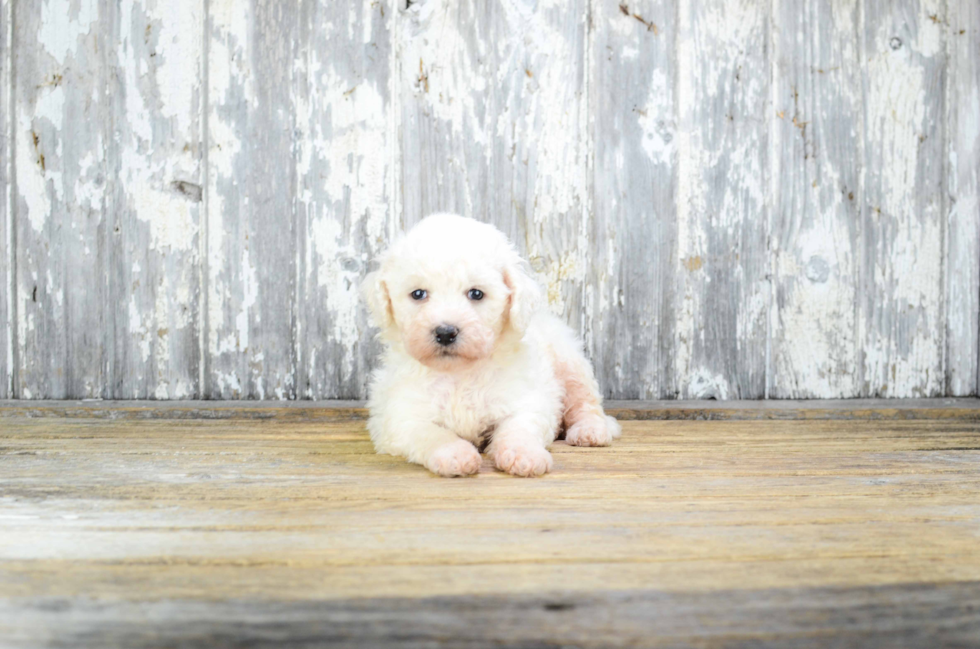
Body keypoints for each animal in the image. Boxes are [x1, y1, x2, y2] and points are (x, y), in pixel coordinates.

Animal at [360, 213, 620, 476]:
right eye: (418, 294)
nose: (445, 333)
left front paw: (524, 455)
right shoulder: (400, 416)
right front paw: (455, 454)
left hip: (570, 362)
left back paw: (591, 430)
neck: (458, 374)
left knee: (586, 403)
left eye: (476, 294)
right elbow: (431, 433)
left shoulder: (527, 398)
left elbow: (519, 427)